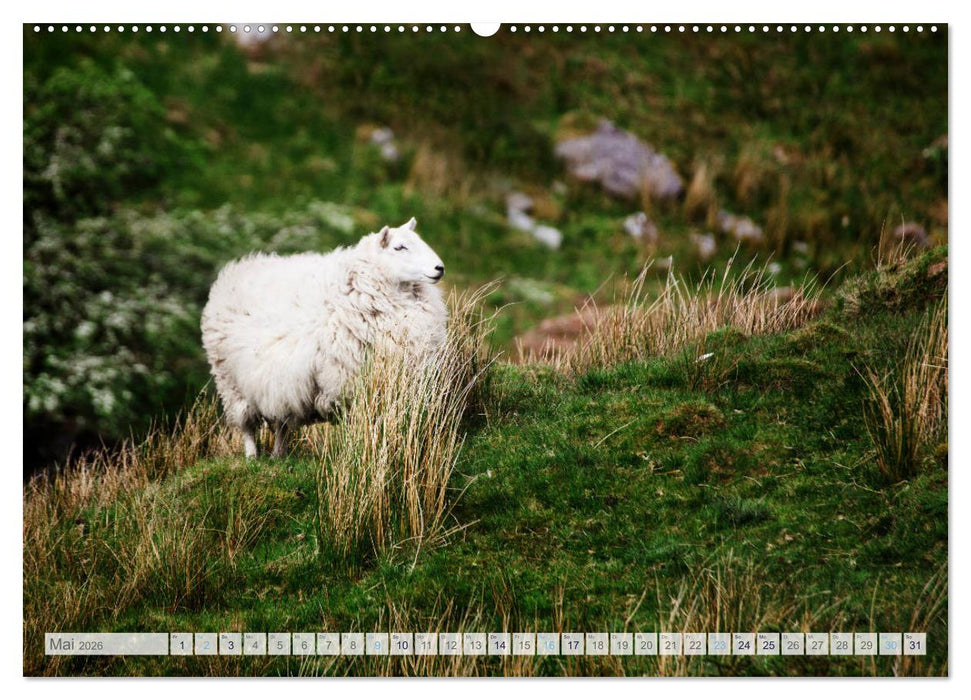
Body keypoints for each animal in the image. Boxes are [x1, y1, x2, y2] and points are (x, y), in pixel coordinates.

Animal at [200, 217, 448, 458]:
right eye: (399, 247)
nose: (440, 268)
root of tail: (237, 269)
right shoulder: (346, 380)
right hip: (229, 380)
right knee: (246, 423)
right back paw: (252, 456)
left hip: (281, 384)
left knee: (281, 421)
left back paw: (278, 455)